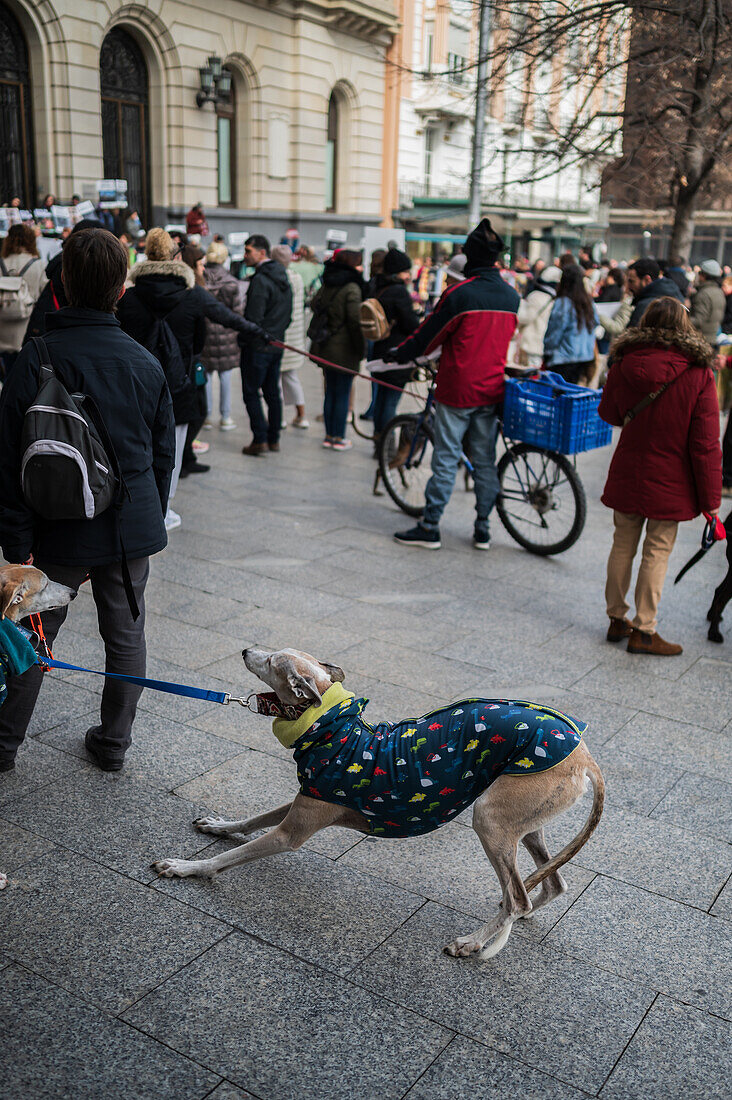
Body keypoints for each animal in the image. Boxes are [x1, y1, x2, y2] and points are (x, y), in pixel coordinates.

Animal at [150, 646, 603, 959]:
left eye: (272, 660)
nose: (246, 650)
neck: (333, 731)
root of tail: (585, 757)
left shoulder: (291, 833)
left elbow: (227, 858)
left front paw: (185, 867)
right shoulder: (305, 801)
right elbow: (249, 821)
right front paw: (216, 826)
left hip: (490, 820)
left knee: (517, 896)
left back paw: (473, 943)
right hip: (523, 823)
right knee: (550, 884)